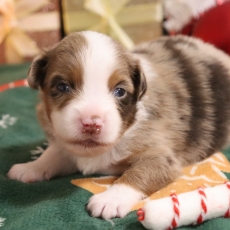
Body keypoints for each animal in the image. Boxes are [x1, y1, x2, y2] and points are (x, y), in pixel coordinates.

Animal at [6, 30, 230, 219]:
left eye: (120, 91)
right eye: (62, 87)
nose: (91, 124)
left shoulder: (162, 156)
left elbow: (138, 173)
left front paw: (110, 199)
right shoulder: (66, 143)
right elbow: (53, 154)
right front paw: (31, 167)